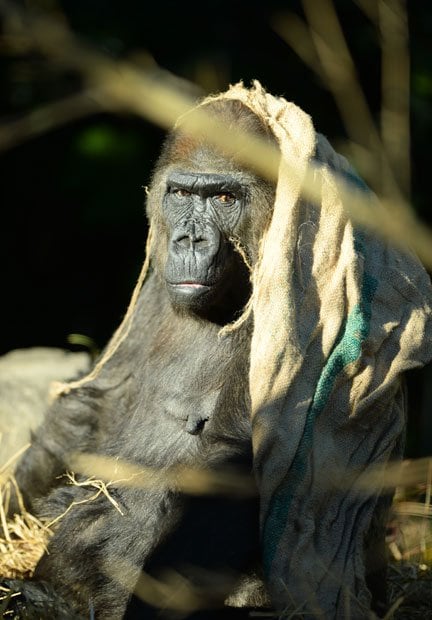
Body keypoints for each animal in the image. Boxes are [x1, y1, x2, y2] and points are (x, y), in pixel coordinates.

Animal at [4, 99, 276, 616]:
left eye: (224, 198)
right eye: (181, 193)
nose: (189, 240)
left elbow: (231, 466)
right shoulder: (154, 284)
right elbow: (95, 403)